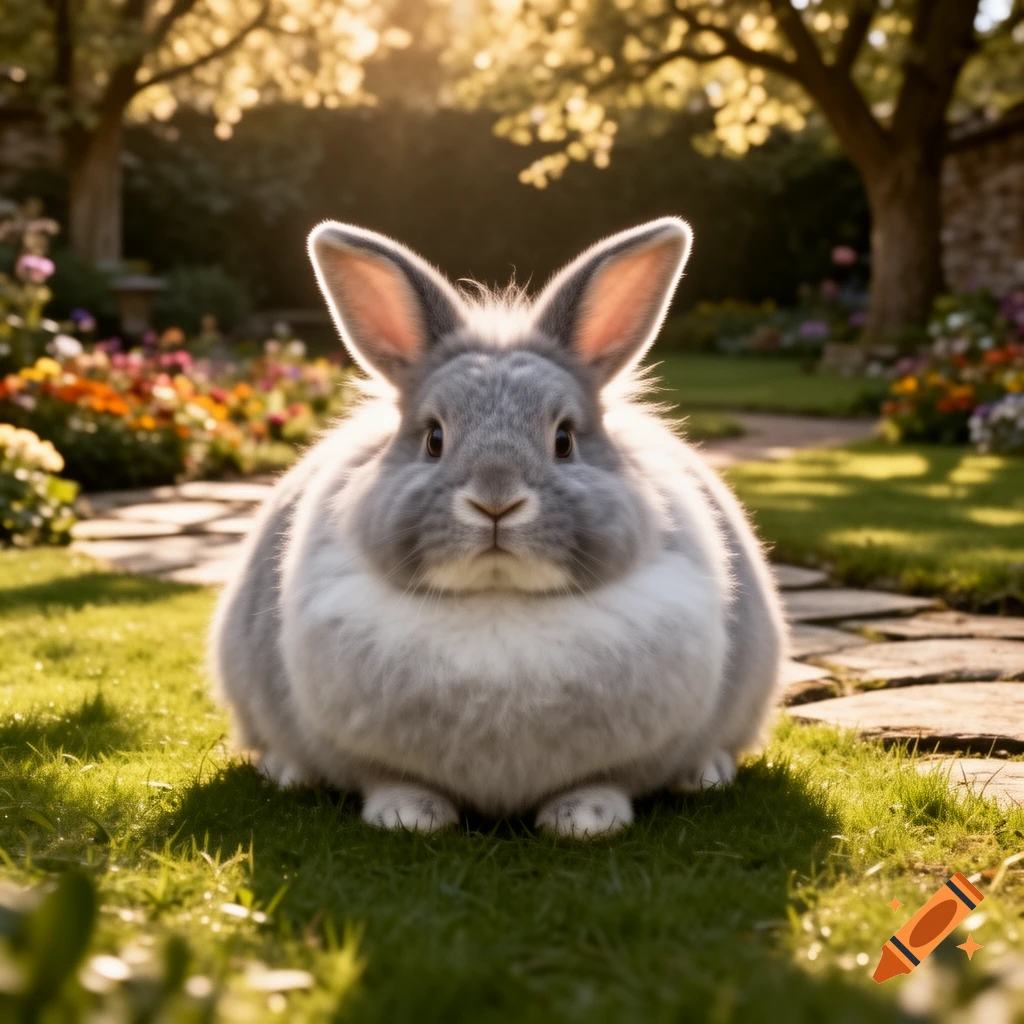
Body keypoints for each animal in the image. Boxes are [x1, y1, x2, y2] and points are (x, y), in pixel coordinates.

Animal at [209, 216, 786, 838]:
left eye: (564, 440)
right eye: (434, 438)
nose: (495, 500)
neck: (497, 599)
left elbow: (604, 780)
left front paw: (586, 819)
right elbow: (391, 778)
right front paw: (407, 816)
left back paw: (705, 774)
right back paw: (288, 770)